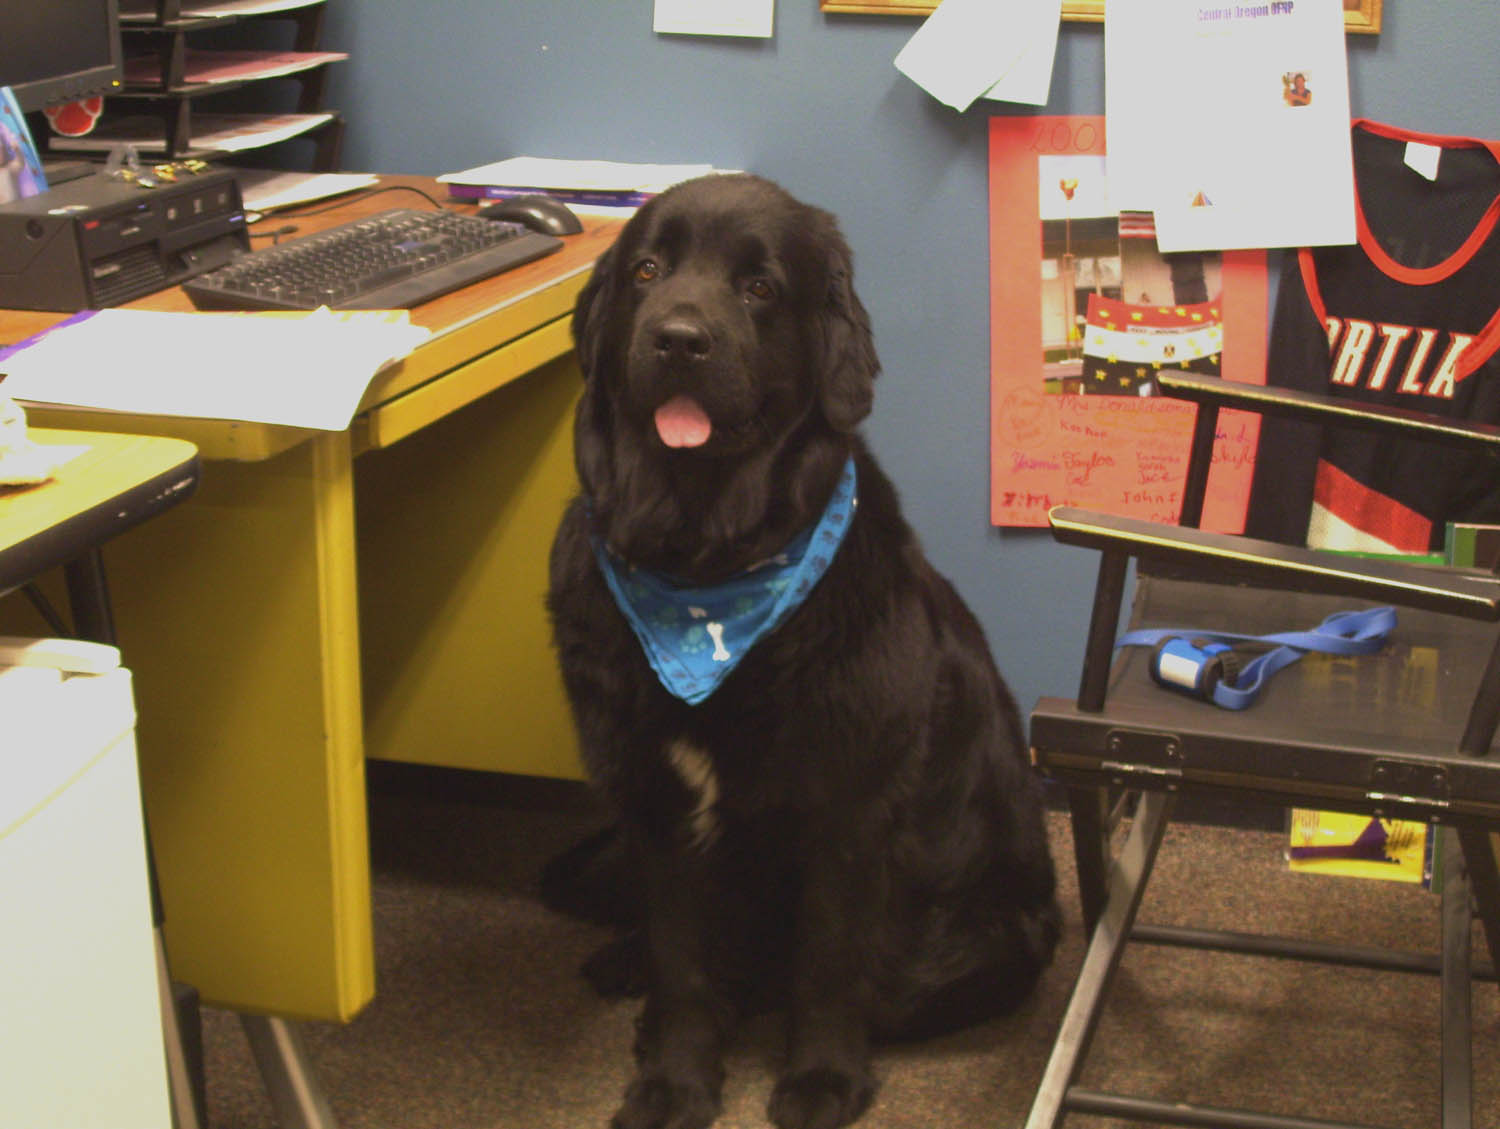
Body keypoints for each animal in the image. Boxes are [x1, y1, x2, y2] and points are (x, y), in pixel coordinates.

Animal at [549, 176, 1056, 1127]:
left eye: (759, 287)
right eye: (647, 269)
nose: (679, 339)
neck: (704, 564)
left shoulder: (848, 804)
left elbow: (827, 960)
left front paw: (821, 1077)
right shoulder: (659, 804)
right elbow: (681, 959)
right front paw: (674, 1079)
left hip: (996, 934)